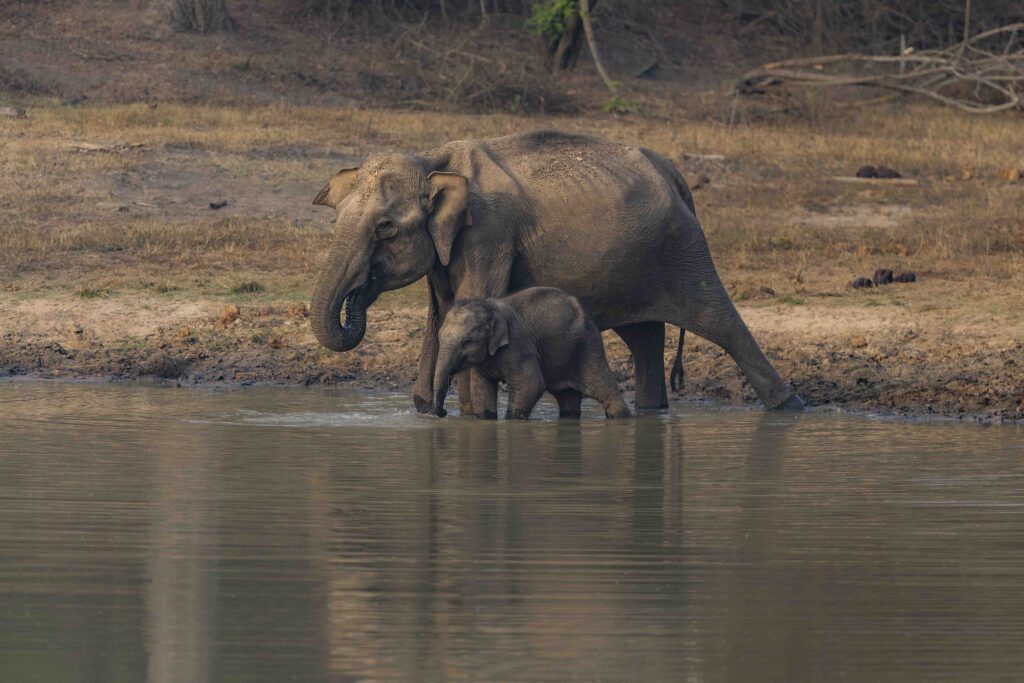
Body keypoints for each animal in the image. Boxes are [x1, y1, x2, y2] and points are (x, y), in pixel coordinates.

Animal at [432, 287, 632, 420]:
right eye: (439, 337)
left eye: (467, 342)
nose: (444, 412)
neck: (489, 306)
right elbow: (482, 390)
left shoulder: (519, 347)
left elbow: (531, 385)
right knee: (567, 398)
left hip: (587, 345)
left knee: (604, 388)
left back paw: (622, 416)